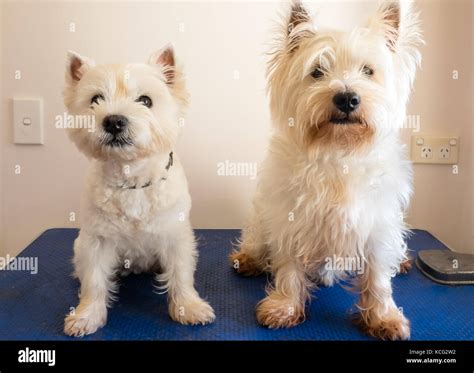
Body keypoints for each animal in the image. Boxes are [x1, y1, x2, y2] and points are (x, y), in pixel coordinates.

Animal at [63, 45, 215, 336]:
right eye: (95, 99)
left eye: (145, 101)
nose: (113, 121)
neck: (132, 179)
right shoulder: (97, 240)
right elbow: (94, 280)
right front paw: (87, 315)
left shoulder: (175, 235)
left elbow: (180, 274)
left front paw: (188, 308)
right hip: (80, 245)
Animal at [231, 0, 424, 338]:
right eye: (317, 71)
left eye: (368, 71)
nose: (347, 98)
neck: (338, 152)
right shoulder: (290, 217)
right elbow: (289, 267)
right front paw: (284, 307)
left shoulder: (376, 225)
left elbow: (377, 277)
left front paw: (383, 317)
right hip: (260, 219)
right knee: (256, 240)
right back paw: (249, 259)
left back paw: (400, 261)